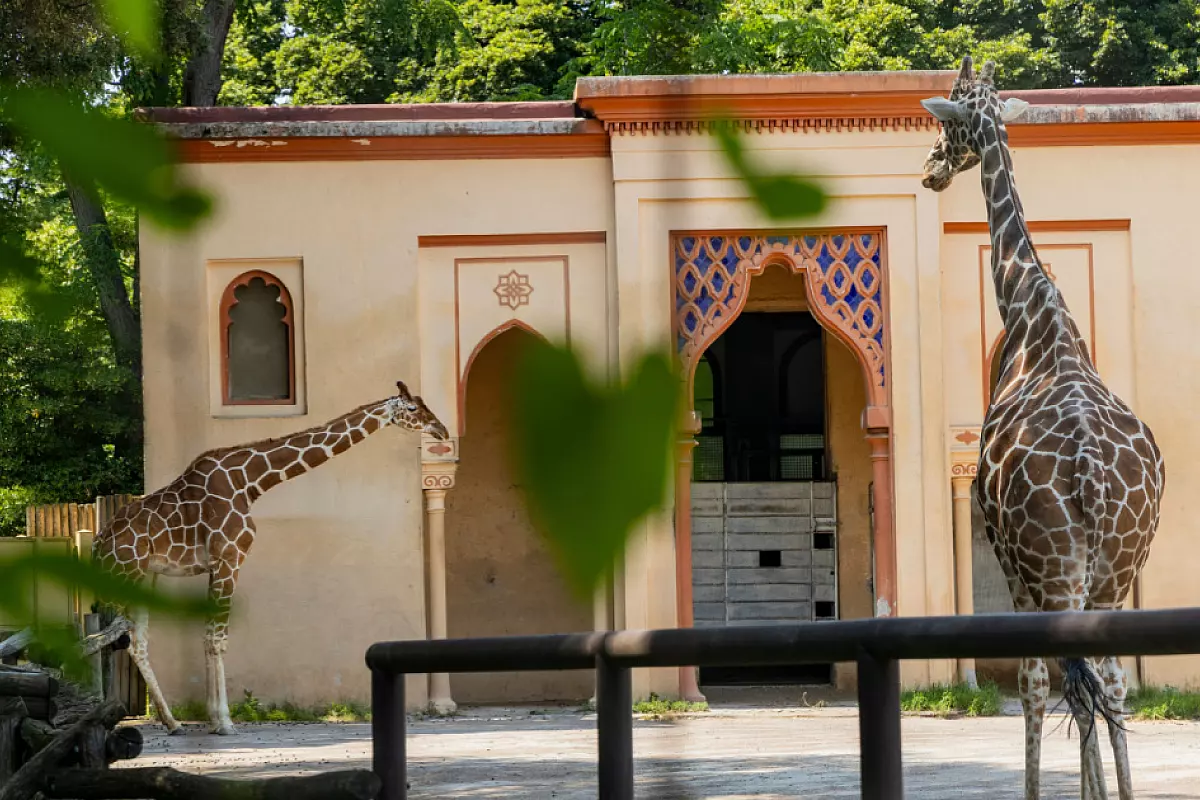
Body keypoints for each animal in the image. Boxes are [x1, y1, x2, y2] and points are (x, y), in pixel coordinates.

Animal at [88, 381, 446, 738]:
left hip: (145, 576)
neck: (251, 482)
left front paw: (213, 718)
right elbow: (217, 639)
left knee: (135, 643)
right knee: (107, 639)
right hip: (126, 573)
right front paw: (225, 721)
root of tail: (98, 542)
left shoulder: (217, 565)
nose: (440, 430)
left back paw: (173, 722)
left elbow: (208, 637)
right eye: (412, 409)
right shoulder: (229, 559)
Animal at [916, 57, 1161, 800]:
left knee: (1073, 680)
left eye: (948, 122)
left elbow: (1032, 682)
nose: (929, 170)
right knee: (1112, 683)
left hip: (1053, 565)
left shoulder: (1004, 549)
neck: (1033, 318)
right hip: (1116, 567)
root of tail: (1090, 476)